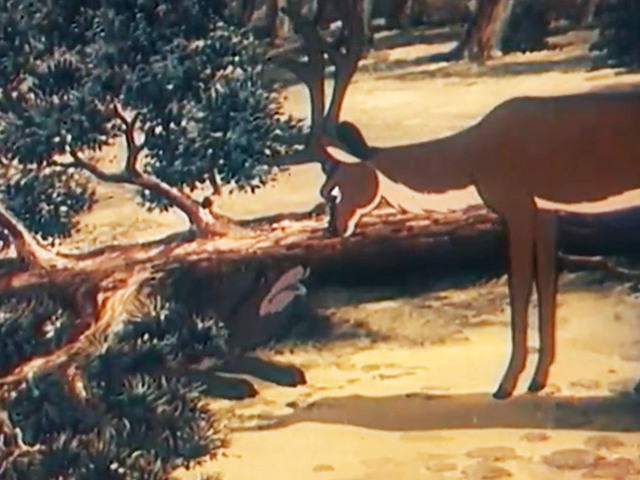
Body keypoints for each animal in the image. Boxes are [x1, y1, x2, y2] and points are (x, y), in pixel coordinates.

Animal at [272, 0, 640, 400]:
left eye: (333, 186)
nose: (333, 228)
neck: (474, 159)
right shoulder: (545, 210)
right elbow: (546, 285)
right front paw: (537, 381)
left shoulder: (517, 205)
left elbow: (519, 287)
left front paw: (505, 386)